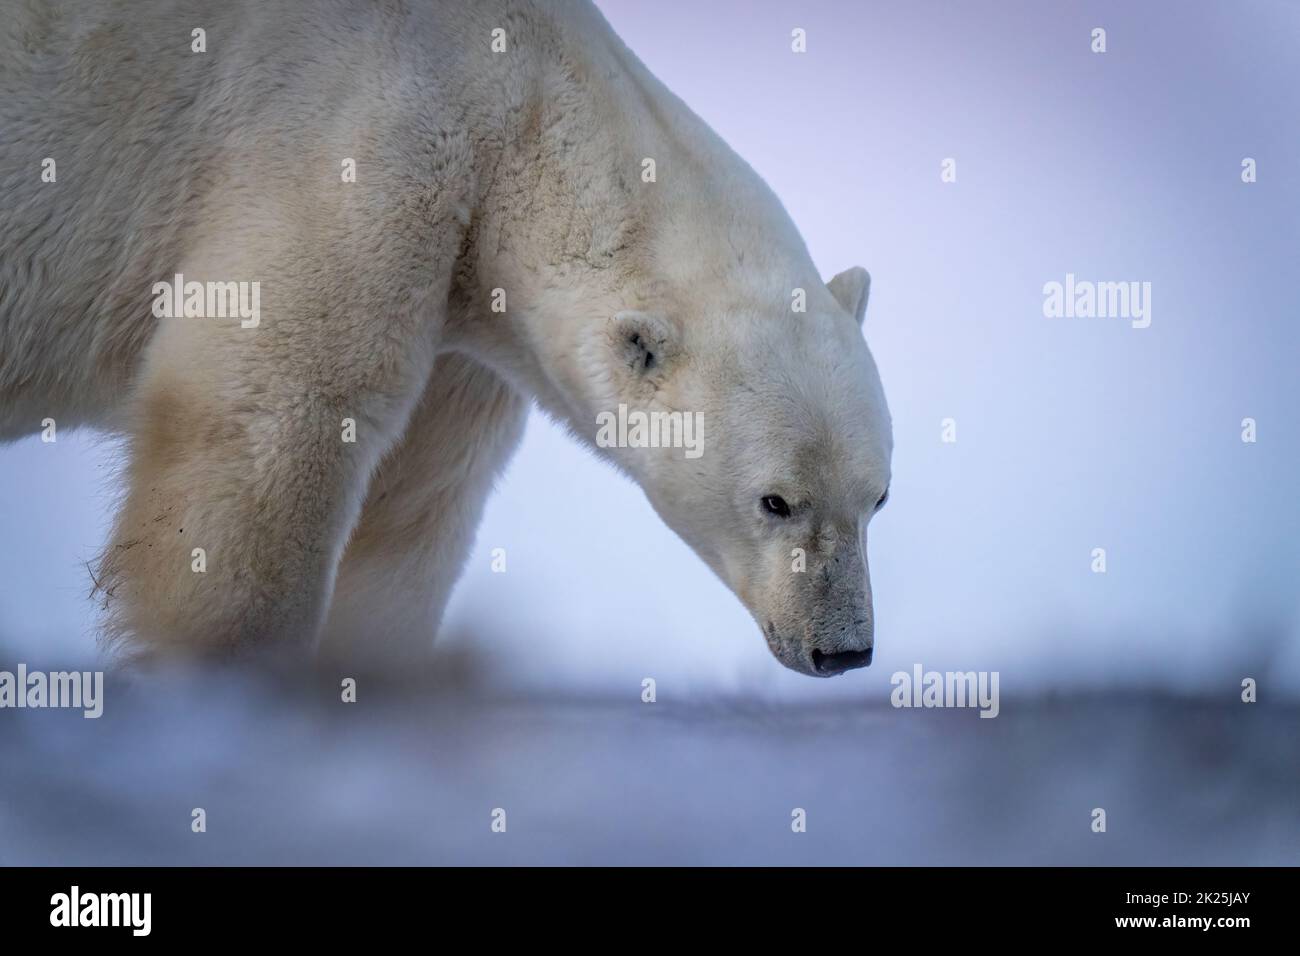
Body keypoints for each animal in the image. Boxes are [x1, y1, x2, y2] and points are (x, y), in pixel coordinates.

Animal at [0, 0, 894, 676]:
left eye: (878, 498)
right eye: (775, 500)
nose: (842, 650)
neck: (517, 104)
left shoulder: (466, 317)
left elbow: (417, 504)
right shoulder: (351, 149)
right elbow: (274, 415)